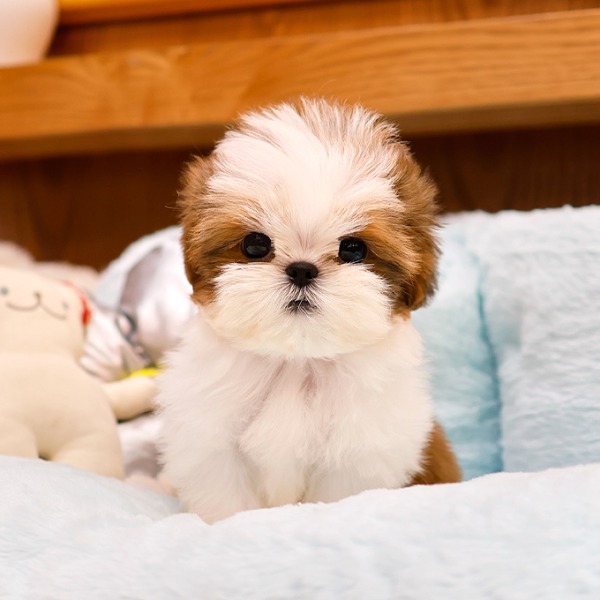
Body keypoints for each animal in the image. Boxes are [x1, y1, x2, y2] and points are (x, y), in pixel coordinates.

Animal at [157, 98, 461, 523]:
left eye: (353, 249)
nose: (302, 269)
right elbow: (228, 499)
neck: (297, 362)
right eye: (255, 245)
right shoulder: (213, 444)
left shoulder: (356, 458)